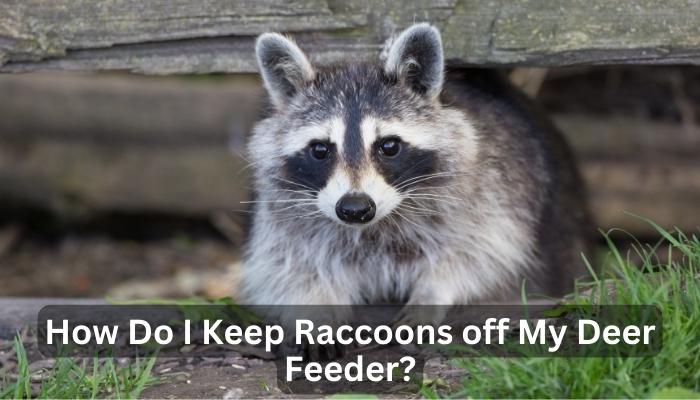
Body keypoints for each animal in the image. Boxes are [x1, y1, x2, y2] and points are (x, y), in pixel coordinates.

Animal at [239, 23, 591, 308]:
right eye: (320, 149)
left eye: (389, 146)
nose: (355, 208)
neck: (375, 228)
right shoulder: (284, 217)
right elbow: (288, 265)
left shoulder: (494, 187)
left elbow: (482, 252)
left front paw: (434, 291)